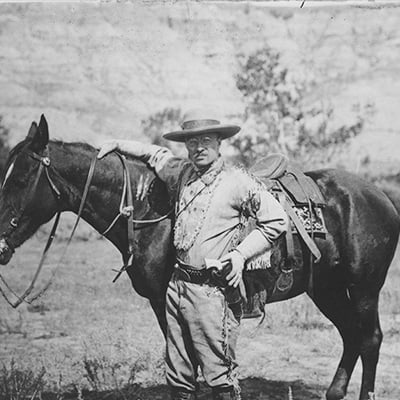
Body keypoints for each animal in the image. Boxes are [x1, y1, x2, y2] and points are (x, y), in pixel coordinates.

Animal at [0, 115, 398, 400]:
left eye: (19, 179)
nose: (0, 243)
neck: (145, 210)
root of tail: (381, 196)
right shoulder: (164, 304)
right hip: (327, 289)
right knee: (351, 335)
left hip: (364, 289)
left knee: (370, 339)